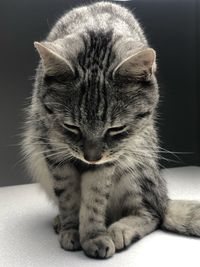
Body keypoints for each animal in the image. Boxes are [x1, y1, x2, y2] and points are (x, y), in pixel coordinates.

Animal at [21, 0, 200, 260]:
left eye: (116, 129)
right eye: (71, 126)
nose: (91, 157)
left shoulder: (109, 160)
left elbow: (94, 201)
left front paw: (94, 236)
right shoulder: (55, 152)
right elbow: (68, 198)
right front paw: (71, 229)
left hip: (137, 167)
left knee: (152, 213)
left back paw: (118, 230)